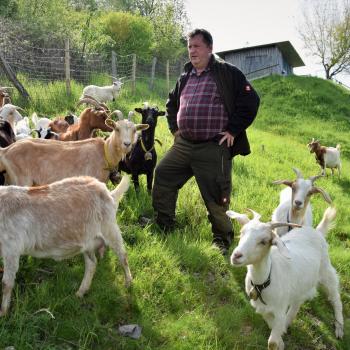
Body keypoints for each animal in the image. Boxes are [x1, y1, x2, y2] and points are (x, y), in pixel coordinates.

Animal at [0, 114, 148, 186]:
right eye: (116, 129)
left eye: (135, 130)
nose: (127, 144)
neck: (105, 152)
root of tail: (6, 150)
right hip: (21, 180)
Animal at [0, 174, 133, 316]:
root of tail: (108, 193)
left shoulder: (11, 248)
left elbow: (6, 283)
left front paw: (3, 312)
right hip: (88, 241)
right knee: (92, 263)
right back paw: (81, 292)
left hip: (110, 228)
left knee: (123, 256)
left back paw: (128, 283)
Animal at [227, 208, 344, 350]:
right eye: (242, 232)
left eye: (263, 241)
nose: (236, 255)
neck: (264, 282)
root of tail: (317, 231)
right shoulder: (263, 309)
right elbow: (273, 326)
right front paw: (281, 340)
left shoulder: (279, 309)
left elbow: (272, 342)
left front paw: (278, 341)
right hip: (300, 285)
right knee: (297, 303)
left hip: (326, 269)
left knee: (335, 297)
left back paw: (339, 328)